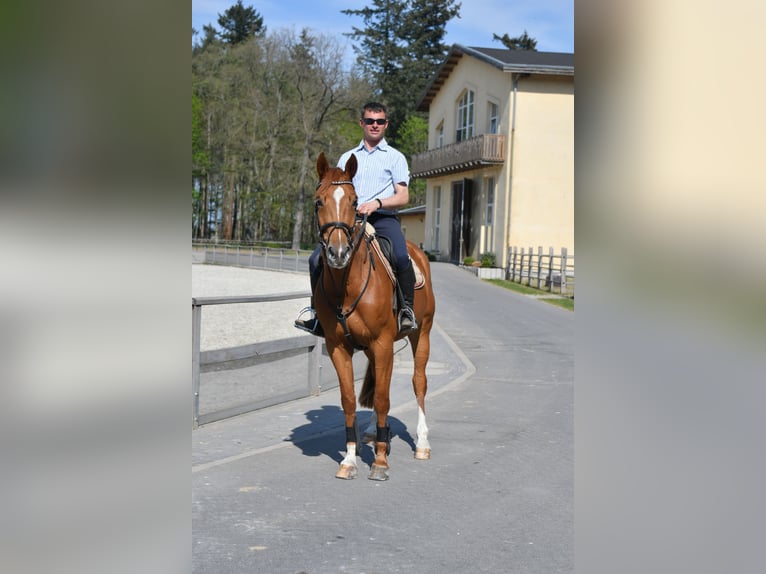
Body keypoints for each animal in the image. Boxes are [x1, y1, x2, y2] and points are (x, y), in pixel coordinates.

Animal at [314, 152, 436, 482]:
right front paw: (349, 459)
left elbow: (383, 398)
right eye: (319, 201)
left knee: (418, 383)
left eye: (355, 201)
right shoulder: (338, 346)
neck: (347, 284)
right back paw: (372, 431)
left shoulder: (382, 343)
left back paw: (422, 443)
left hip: (422, 334)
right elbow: (349, 400)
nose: (338, 253)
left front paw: (380, 461)